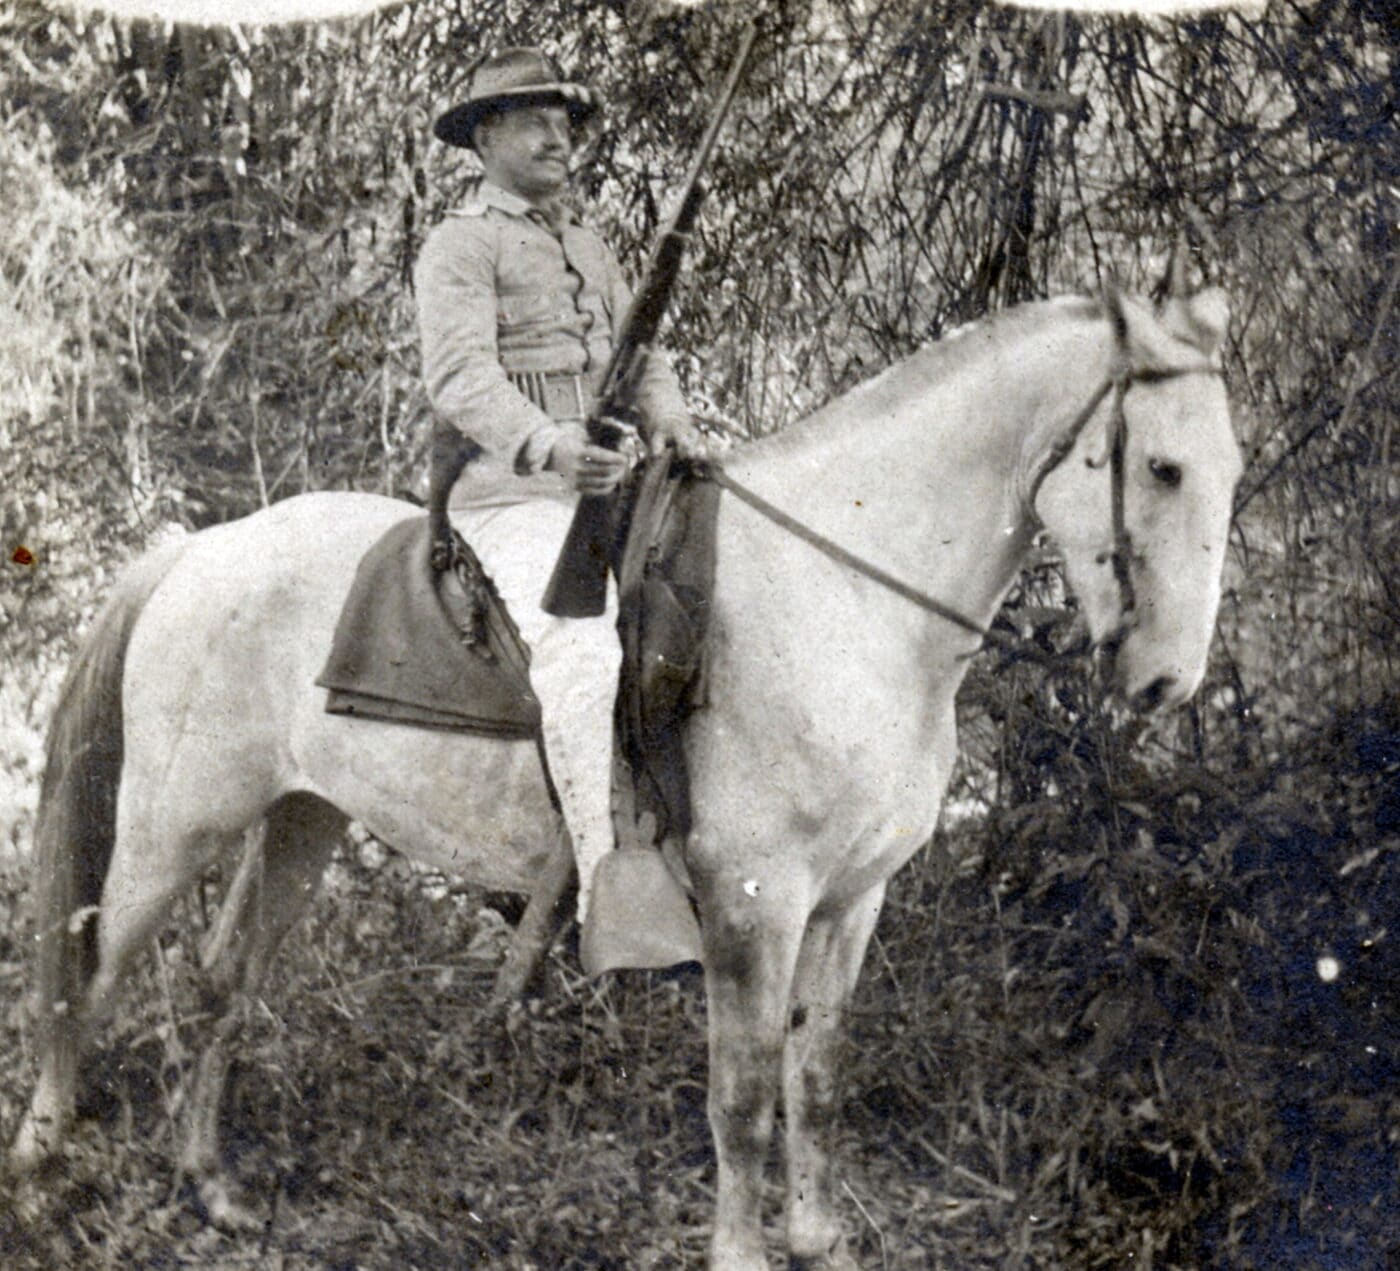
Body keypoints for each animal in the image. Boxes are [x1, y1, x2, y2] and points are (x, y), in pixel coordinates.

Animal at [10, 282, 1237, 1265]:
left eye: (1227, 470)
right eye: (1162, 466)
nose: (1167, 681)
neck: (843, 597)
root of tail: (201, 548)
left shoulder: (851, 902)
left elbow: (816, 1076)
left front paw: (816, 1237)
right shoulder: (754, 904)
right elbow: (742, 1096)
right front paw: (744, 1252)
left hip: (299, 818)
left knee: (222, 979)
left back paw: (212, 1187)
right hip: (174, 826)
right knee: (89, 970)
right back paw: (46, 1152)